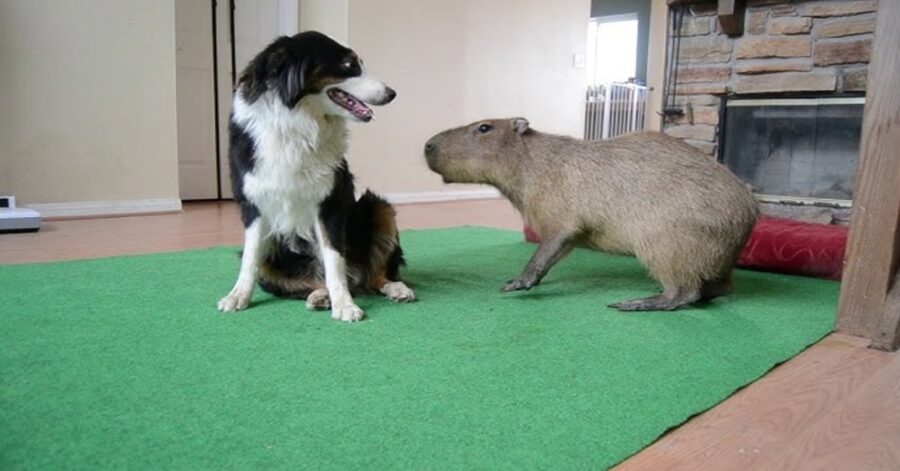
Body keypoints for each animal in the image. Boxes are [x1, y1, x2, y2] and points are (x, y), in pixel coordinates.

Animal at [218, 31, 414, 322]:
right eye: (348, 65)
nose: (392, 93)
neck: (299, 122)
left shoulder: (330, 203)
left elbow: (334, 259)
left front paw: (344, 305)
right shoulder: (253, 206)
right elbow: (250, 259)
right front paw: (238, 295)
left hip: (379, 207)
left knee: (373, 276)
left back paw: (395, 288)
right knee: (308, 280)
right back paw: (320, 296)